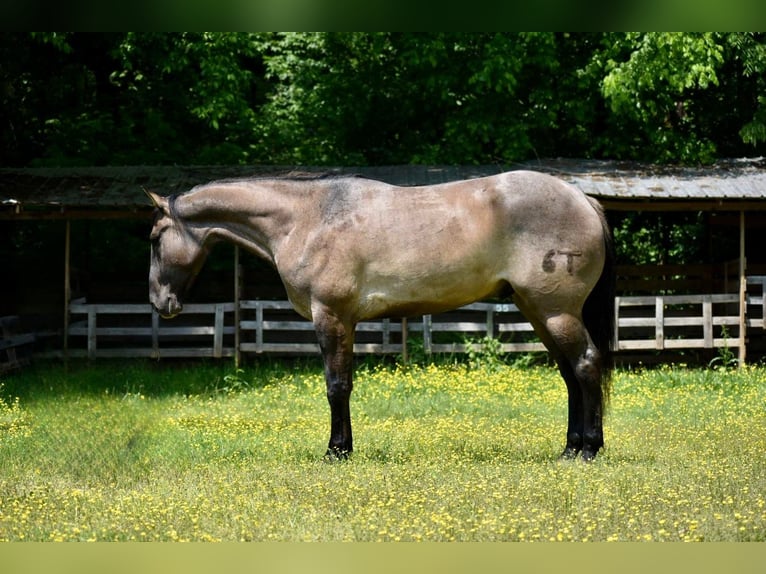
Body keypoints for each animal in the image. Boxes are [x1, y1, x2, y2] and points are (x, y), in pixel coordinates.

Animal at [147, 171, 616, 464]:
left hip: (556, 312)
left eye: (154, 238)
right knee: (570, 375)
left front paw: (337, 451)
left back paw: (589, 450)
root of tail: (584, 200)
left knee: (585, 365)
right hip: (539, 311)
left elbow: (337, 387)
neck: (307, 219)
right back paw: (570, 448)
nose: (159, 302)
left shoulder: (332, 317)